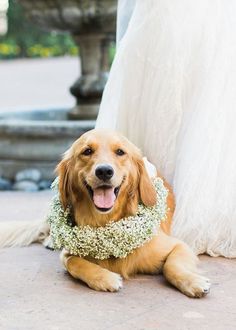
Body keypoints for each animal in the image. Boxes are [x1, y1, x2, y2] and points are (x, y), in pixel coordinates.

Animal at [0, 130, 210, 298]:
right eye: (87, 151)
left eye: (120, 152)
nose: (104, 171)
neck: (105, 222)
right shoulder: (68, 253)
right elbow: (74, 263)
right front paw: (104, 278)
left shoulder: (178, 246)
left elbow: (172, 266)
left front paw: (193, 281)